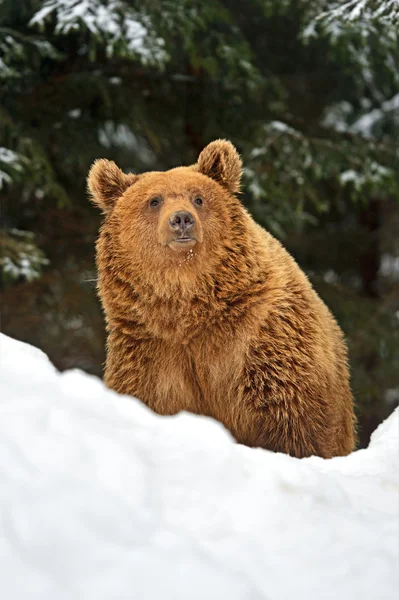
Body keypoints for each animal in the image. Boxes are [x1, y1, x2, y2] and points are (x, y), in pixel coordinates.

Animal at [88, 142, 356, 460]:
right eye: (154, 201)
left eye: (198, 198)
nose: (181, 219)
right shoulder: (150, 354)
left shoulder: (262, 341)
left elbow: (294, 418)